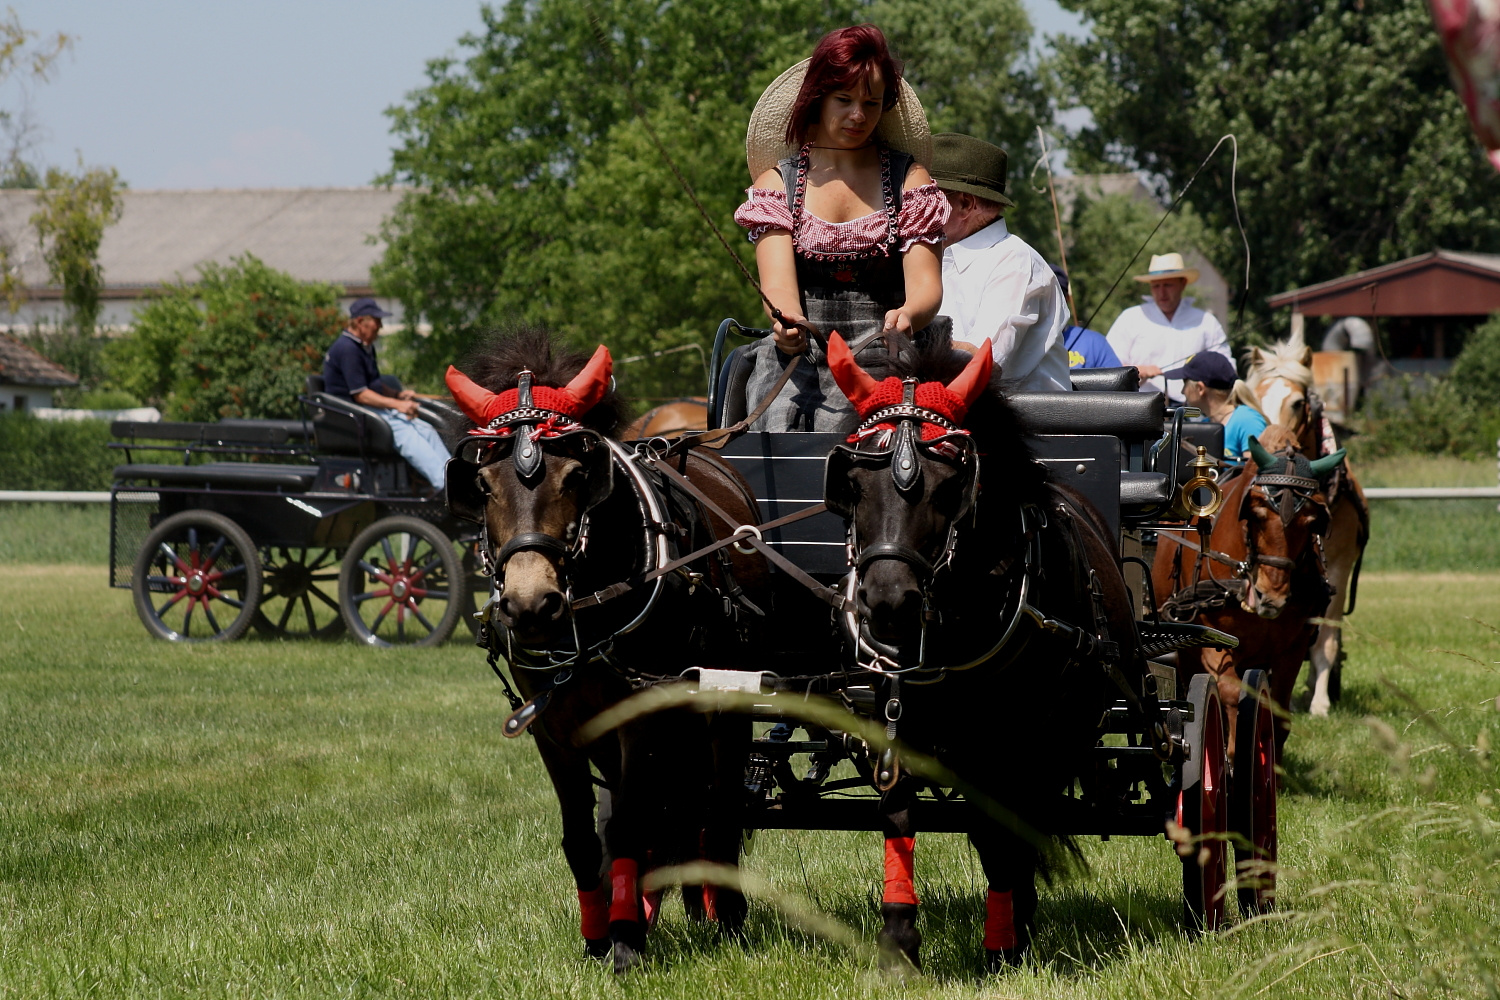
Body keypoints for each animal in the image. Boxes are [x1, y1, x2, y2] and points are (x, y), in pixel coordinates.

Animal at [438, 332, 768, 971]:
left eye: (574, 477)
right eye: (483, 487)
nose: (530, 605)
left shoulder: (640, 714)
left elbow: (634, 823)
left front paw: (628, 944)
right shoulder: (552, 727)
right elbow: (585, 835)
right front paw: (600, 934)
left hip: (725, 698)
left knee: (717, 800)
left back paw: (724, 911)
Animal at [822, 334, 1134, 971]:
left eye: (949, 488)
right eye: (855, 487)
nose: (888, 601)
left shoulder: (1015, 739)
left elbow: (1001, 834)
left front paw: (1002, 947)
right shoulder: (893, 722)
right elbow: (897, 814)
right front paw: (899, 944)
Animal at [1146, 425, 1350, 758]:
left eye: (1311, 521)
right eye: (1256, 514)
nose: (1272, 596)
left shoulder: (1293, 647)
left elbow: (1278, 711)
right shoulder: (1212, 640)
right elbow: (1229, 693)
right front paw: (1227, 753)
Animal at [1242, 335, 1374, 719]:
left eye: (1299, 402)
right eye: (1255, 396)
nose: (1267, 448)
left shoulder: (1338, 568)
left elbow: (1325, 635)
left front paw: (1320, 701)